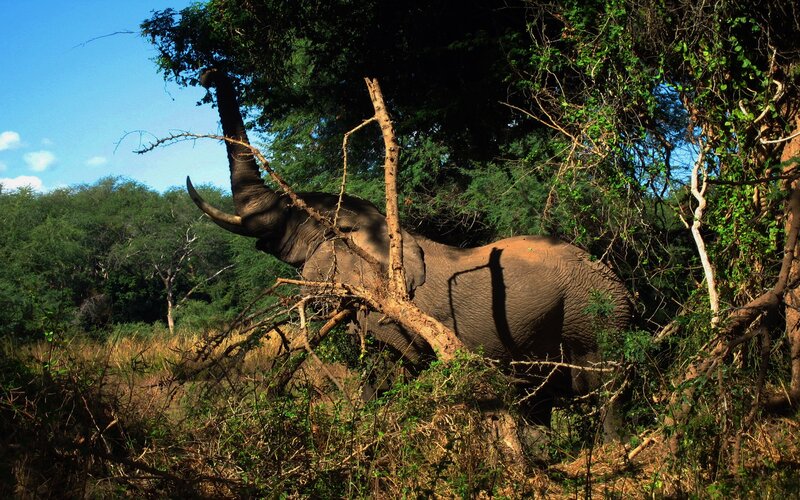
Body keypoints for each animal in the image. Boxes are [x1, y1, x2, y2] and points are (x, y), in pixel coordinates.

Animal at [187, 69, 633, 434]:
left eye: (296, 215)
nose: (208, 74)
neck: (373, 231)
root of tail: (618, 280)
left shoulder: (390, 322)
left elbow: (387, 376)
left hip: (595, 317)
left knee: (606, 390)